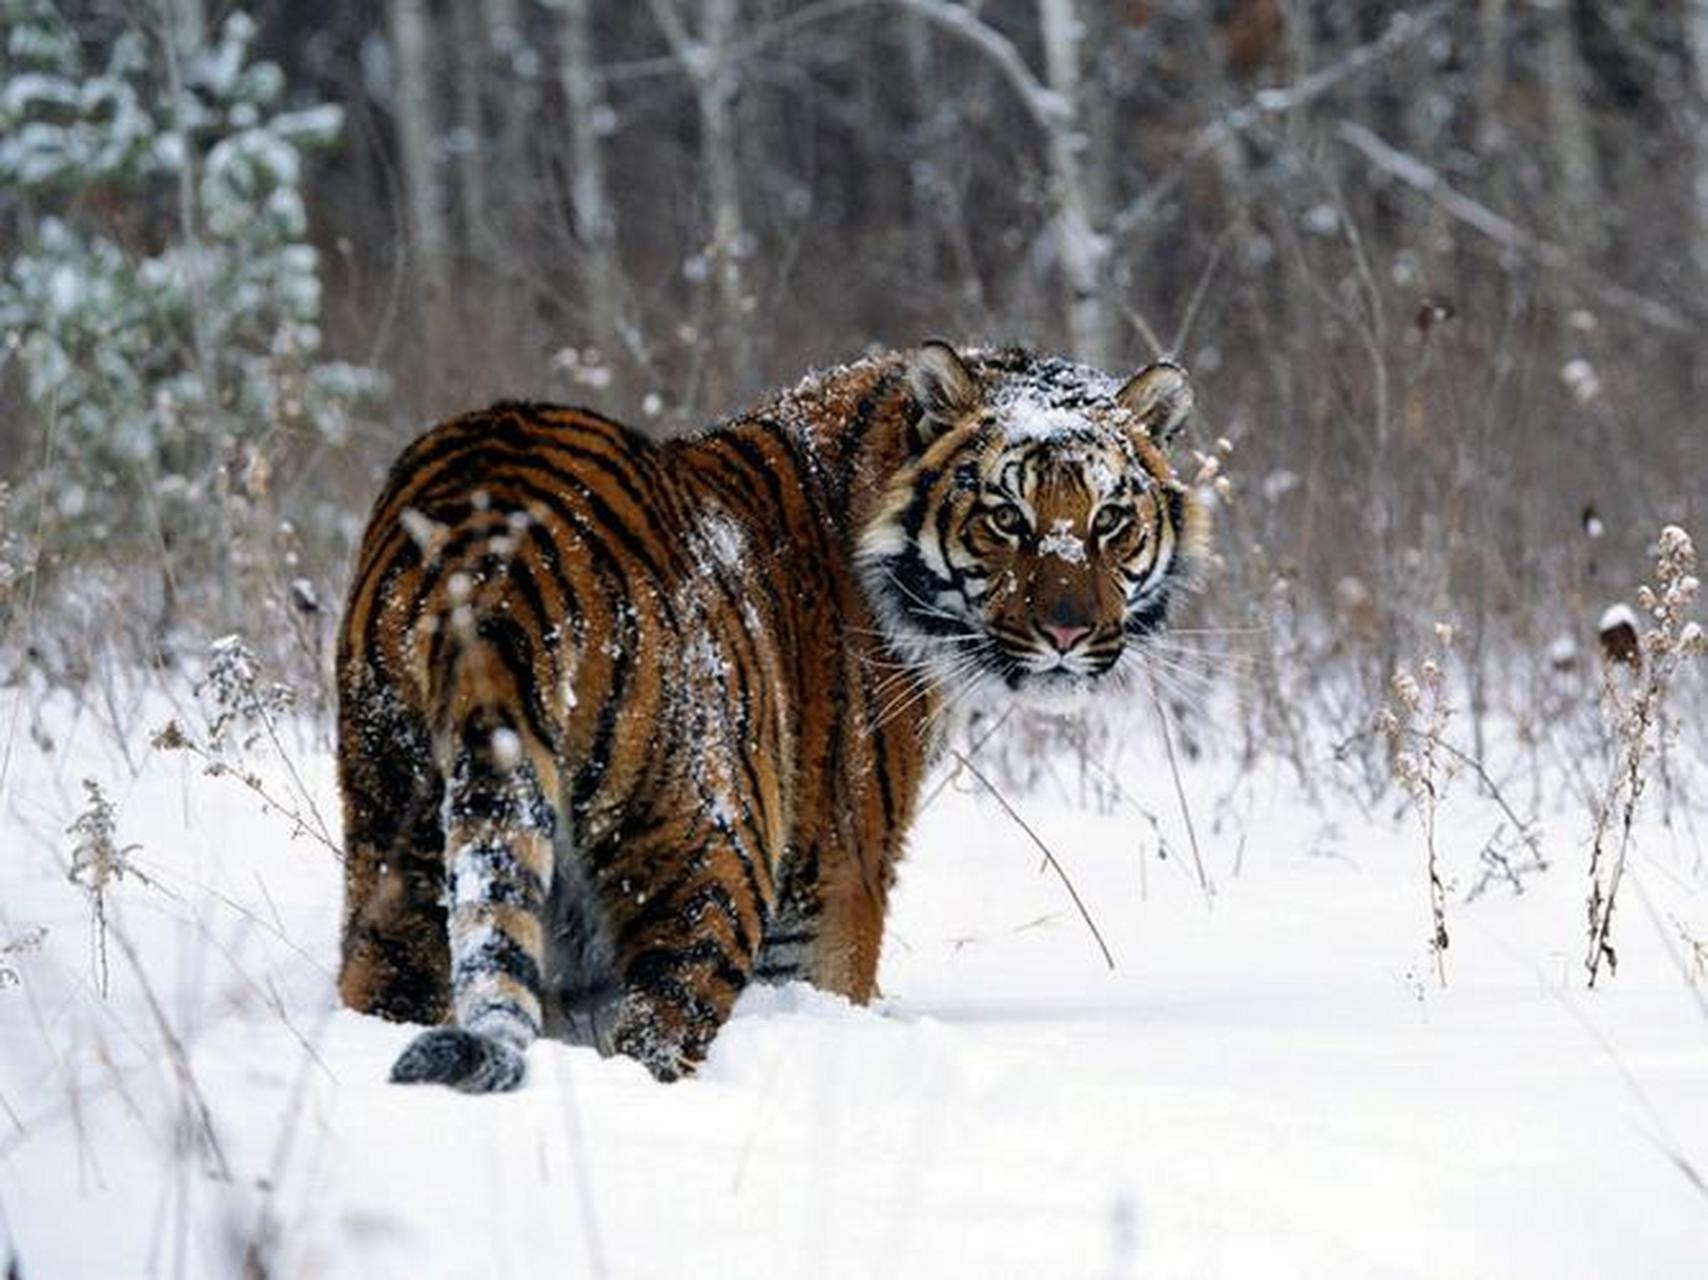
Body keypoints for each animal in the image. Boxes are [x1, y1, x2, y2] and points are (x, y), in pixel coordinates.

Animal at [335, 340, 1205, 1089]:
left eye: (1109, 520)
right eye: (1006, 518)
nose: (1067, 633)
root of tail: (491, 552)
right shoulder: (836, 873)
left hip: (394, 831)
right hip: (711, 853)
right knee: (656, 1032)